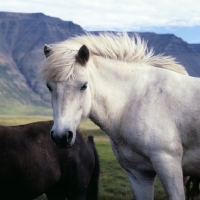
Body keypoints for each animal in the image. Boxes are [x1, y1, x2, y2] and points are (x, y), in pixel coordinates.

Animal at [40, 33, 200, 199]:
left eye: (84, 85)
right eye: (49, 86)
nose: (60, 136)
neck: (135, 101)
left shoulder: (168, 164)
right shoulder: (139, 174)